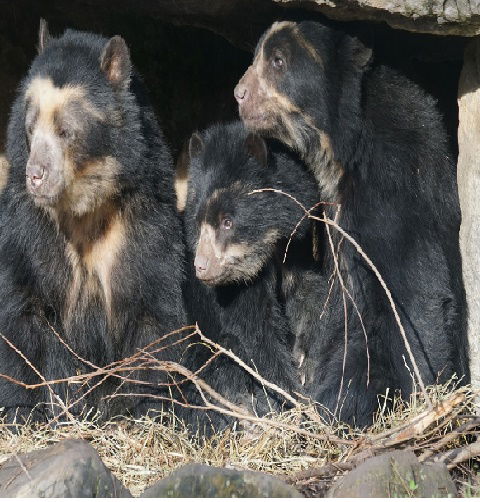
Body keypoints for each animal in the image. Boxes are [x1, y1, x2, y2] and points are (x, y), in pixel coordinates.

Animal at [0, 20, 187, 420]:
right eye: (29, 127)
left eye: (65, 131)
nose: (35, 176)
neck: (82, 206)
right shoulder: (27, 226)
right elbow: (23, 309)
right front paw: (26, 408)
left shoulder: (143, 222)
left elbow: (152, 310)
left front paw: (142, 407)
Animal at [181, 121, 326, 432]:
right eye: (198, 222)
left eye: (227, 222)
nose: (201, 267)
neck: (269, 251)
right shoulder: (235, 290)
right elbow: (257, 335)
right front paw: (296, 402)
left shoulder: (297, 250)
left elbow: (311, 298)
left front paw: (307, 364)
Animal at [236, 21, 468, 426]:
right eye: (256, 56)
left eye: (278, 61)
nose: (239, 94)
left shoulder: (388, 189)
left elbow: (405, 291)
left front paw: (338, 402)